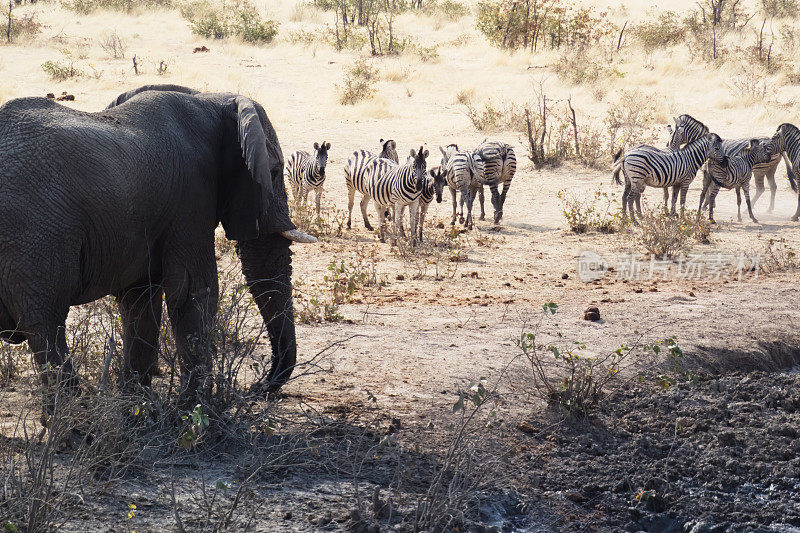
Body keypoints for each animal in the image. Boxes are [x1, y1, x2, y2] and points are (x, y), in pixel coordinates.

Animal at [0, 84, 318, 416]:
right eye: (275, 172)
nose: (257, 389)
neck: (211, 100)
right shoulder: (190, 200)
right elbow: (193, 291)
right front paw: (190, 411)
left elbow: (139, 301)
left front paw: (138, 411)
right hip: (35, 235)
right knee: (46, 326)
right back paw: (73, 425)